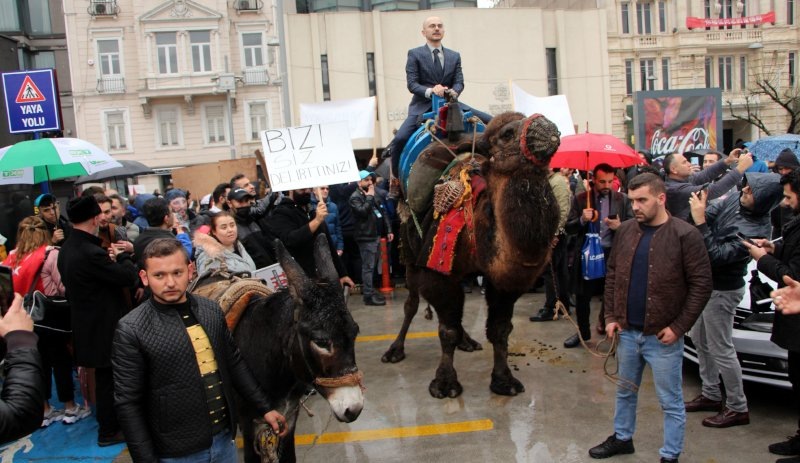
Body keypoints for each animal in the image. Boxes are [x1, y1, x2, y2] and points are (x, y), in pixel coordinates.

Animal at [382, 112, 560, 398]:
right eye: (507, 134)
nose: (546, 126)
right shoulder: (435, 272)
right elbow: (447, 331)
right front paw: (444, 383)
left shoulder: (503, 283)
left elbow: (499, 330)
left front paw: (504, 380)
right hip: (409, 254)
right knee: (412, 304)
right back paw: (395, 350)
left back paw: (467, 341)